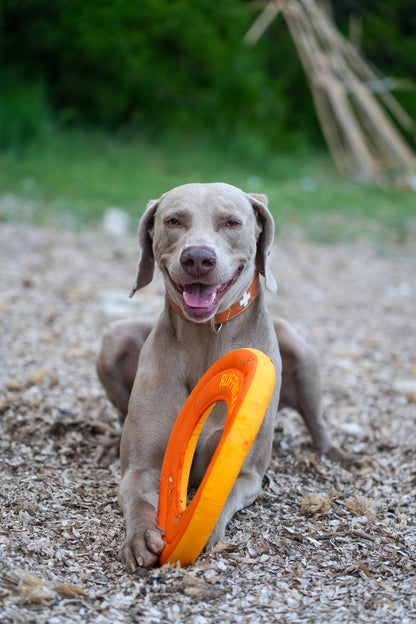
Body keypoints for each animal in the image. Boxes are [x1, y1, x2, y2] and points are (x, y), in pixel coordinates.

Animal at [96, 180, 344, 572]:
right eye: (174, 220)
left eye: (231, 222)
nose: (198, 258)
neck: (205, 337)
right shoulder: (141, 468)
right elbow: (138, 498)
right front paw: (140, 539)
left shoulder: (245, 474)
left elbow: (222, 498)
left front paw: (205, 535)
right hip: (114, 339)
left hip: (300, 351)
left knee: (317, 421)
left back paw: (336, 455)